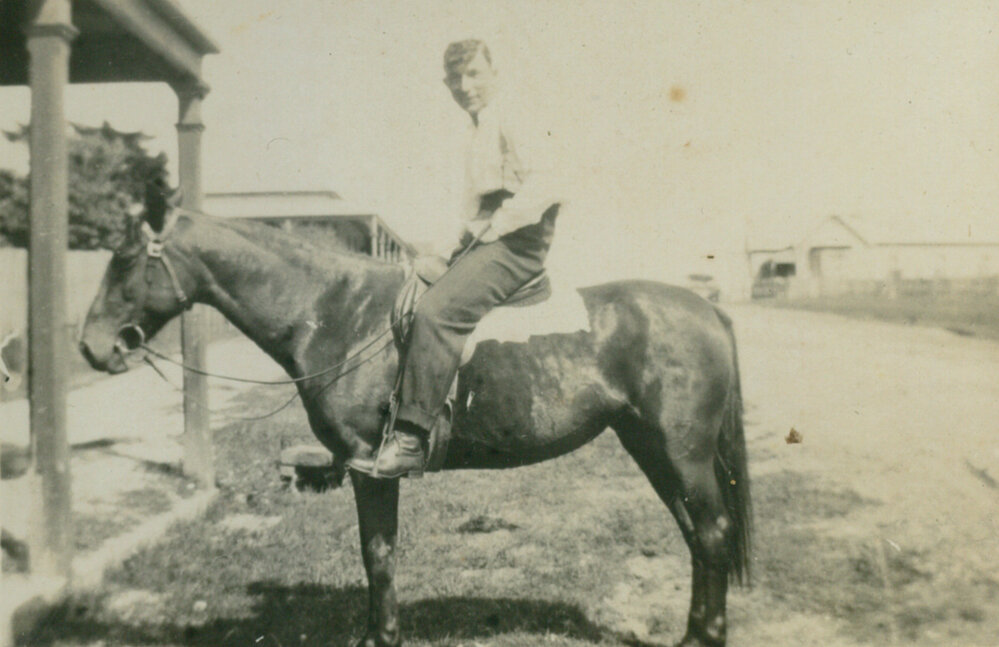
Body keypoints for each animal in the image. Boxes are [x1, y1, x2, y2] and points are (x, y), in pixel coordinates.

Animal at [79, 189, 751, 647]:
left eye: (126, 259)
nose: (91, 348)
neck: (340, 312)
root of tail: (707, 309)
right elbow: (379, 554)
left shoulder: (368, 466)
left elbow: (377, 555)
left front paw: (381, 637)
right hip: (649, 446)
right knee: (696, 537)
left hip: (682, 452)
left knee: (713, 533)